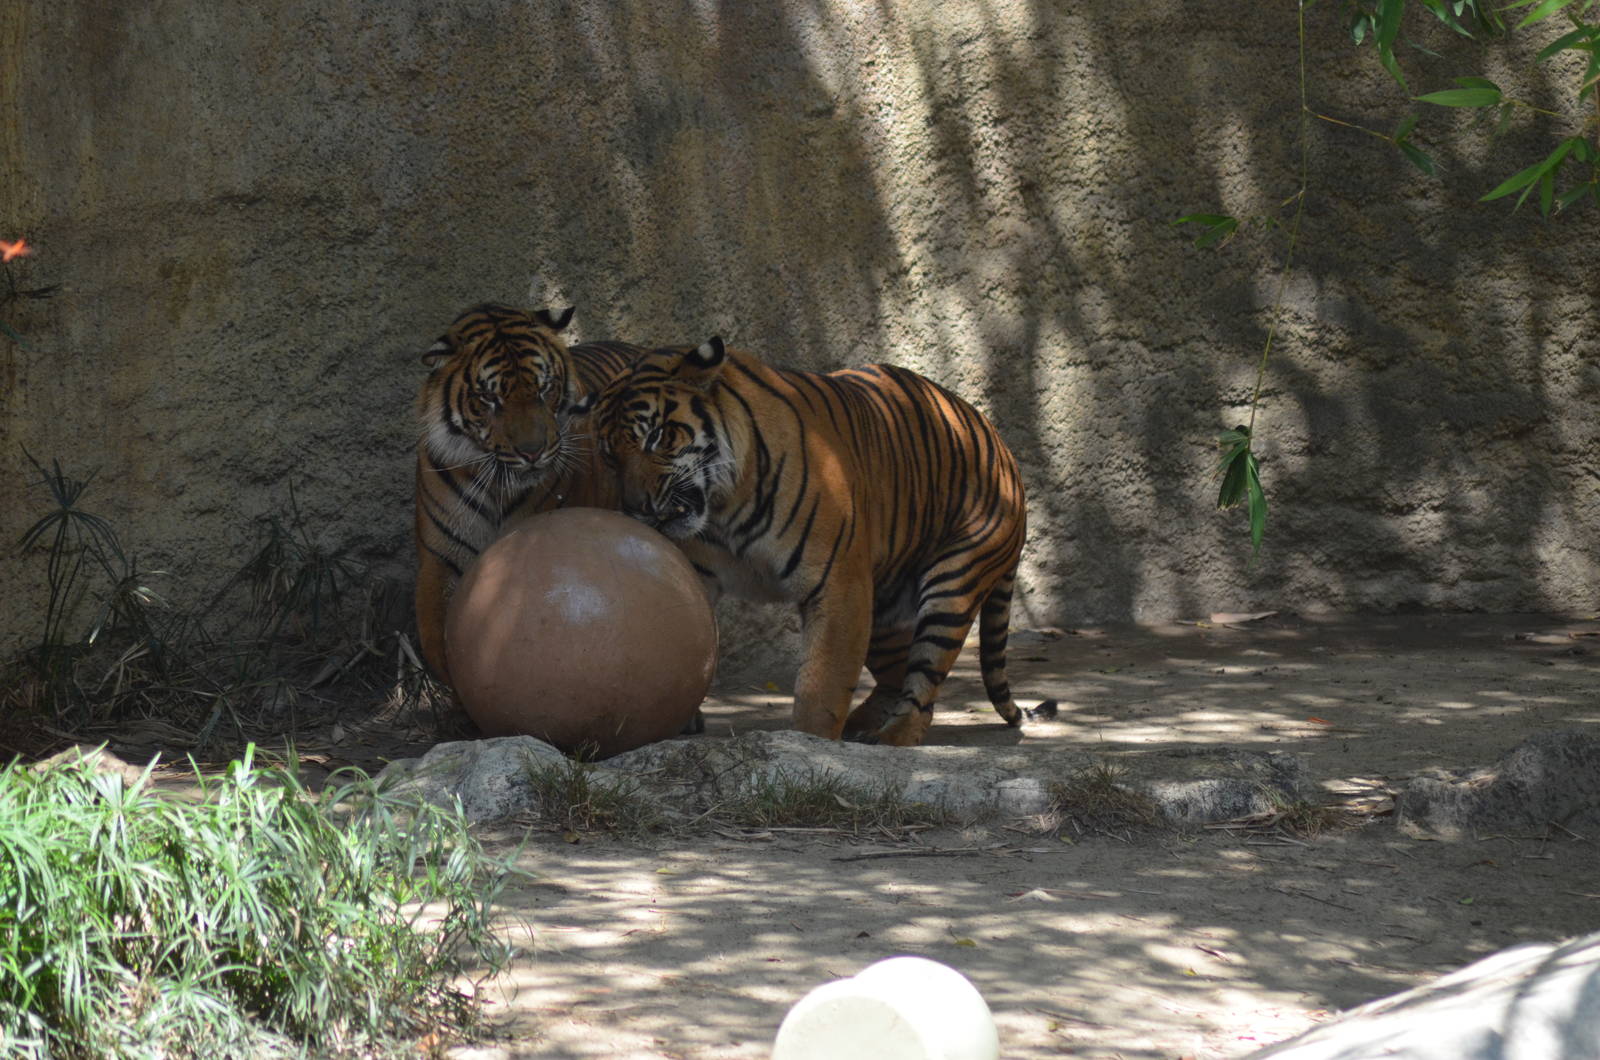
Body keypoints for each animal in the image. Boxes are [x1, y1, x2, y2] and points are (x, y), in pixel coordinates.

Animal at [413, 302, 646, 685]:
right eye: (489, 398)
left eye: (544, 388)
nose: (533, 452)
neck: (496, 486)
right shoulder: (440, 560)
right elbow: (442, 644)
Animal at [576, 335, 1056, 747]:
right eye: (609, 455)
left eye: (656, 437)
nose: (637, 507)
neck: (723, 506)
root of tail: (1003, 445)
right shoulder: (699, 573)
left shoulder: (838, 584)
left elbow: (821, 684)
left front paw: (811, 747)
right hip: (883, 607)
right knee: (894, 676)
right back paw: (863, 725)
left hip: (953, 584)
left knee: (922, 685)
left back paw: (891, 736)